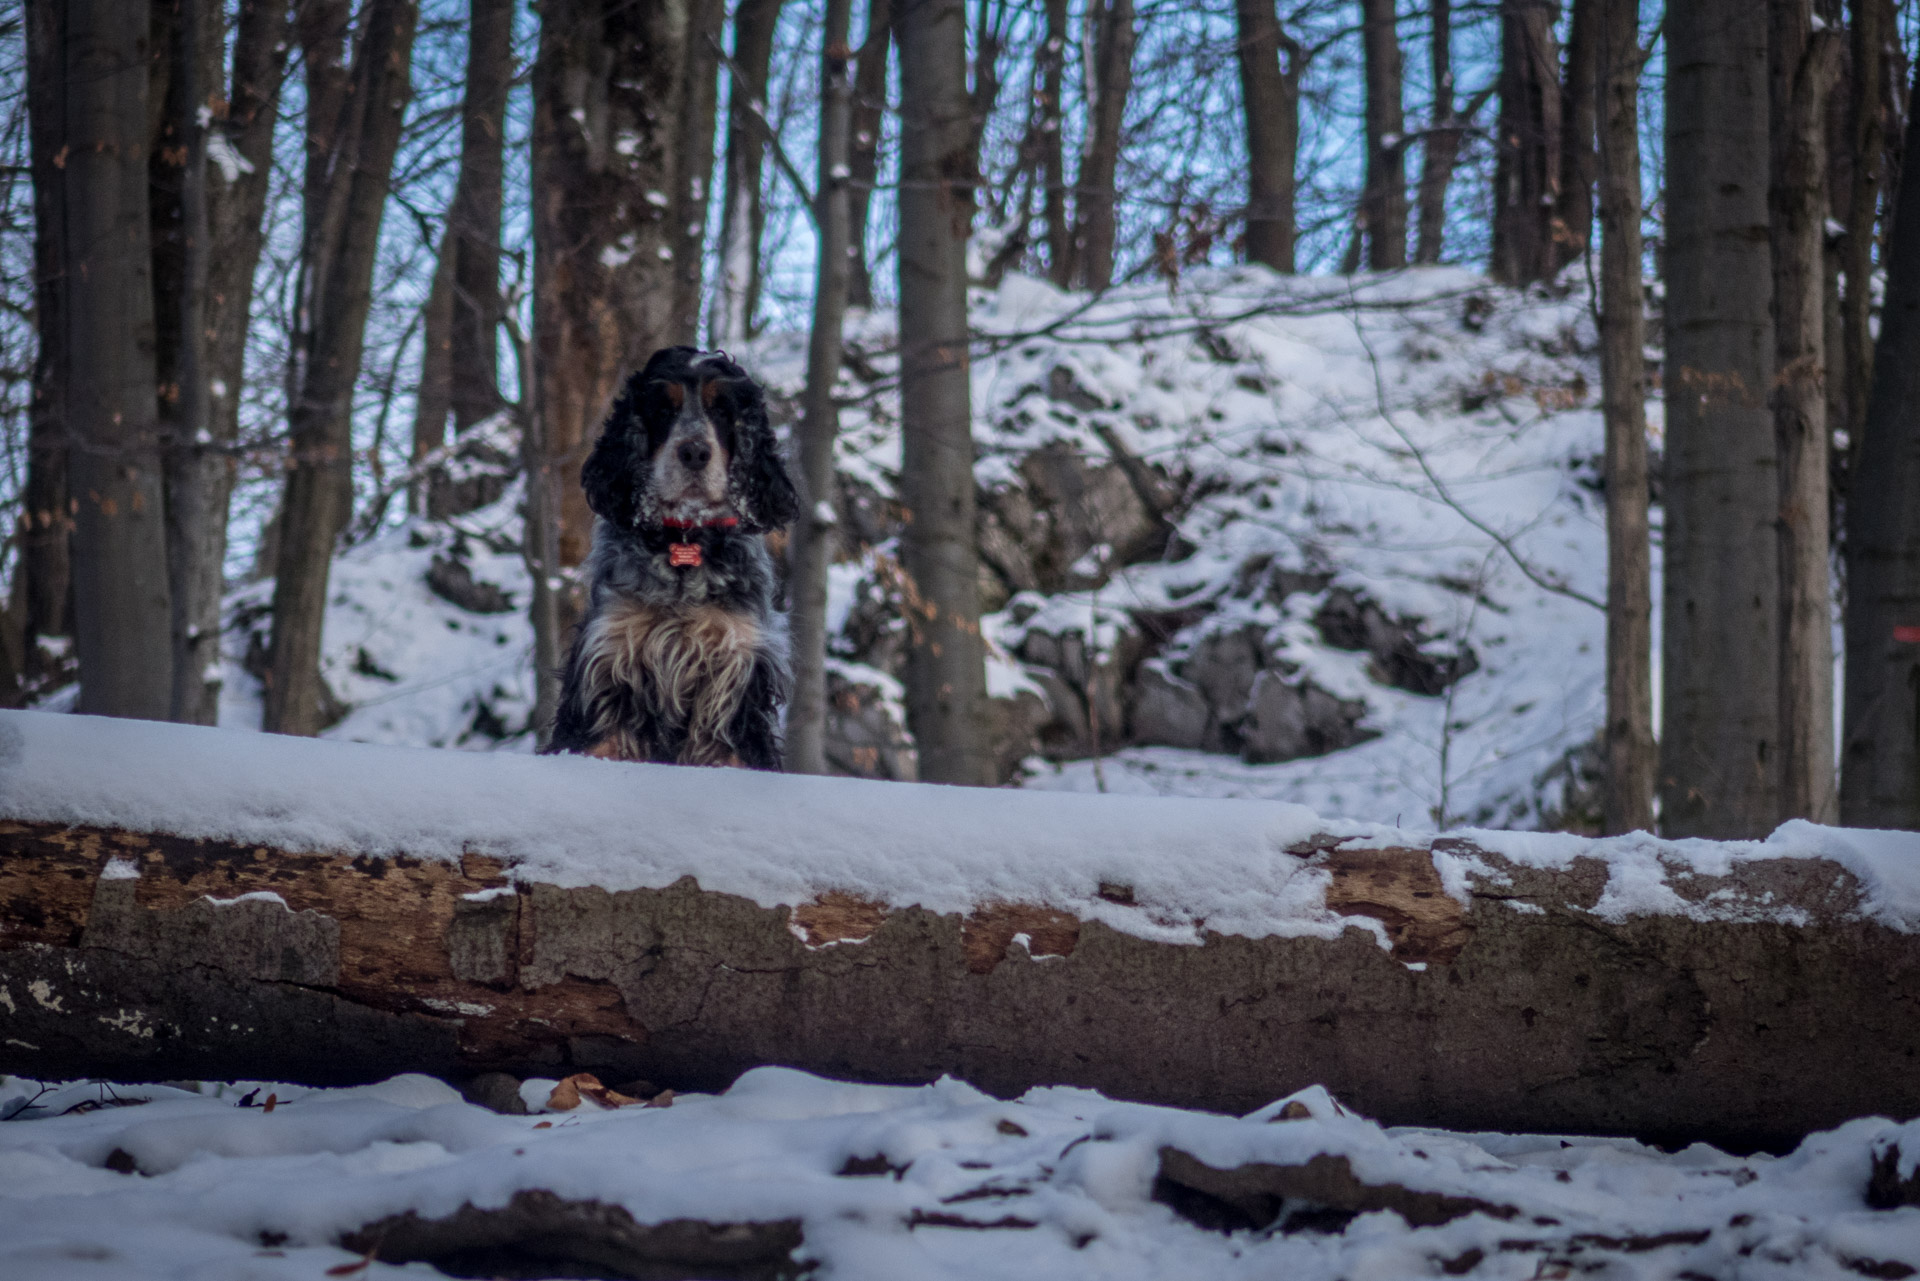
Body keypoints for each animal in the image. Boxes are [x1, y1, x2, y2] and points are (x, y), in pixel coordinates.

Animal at [545, 345, 798, 772]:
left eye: (722, 410)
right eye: (663, 409)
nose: (694, 451)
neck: (685, 538)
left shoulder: (735, 672)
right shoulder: (611, 658)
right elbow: (599, 743)